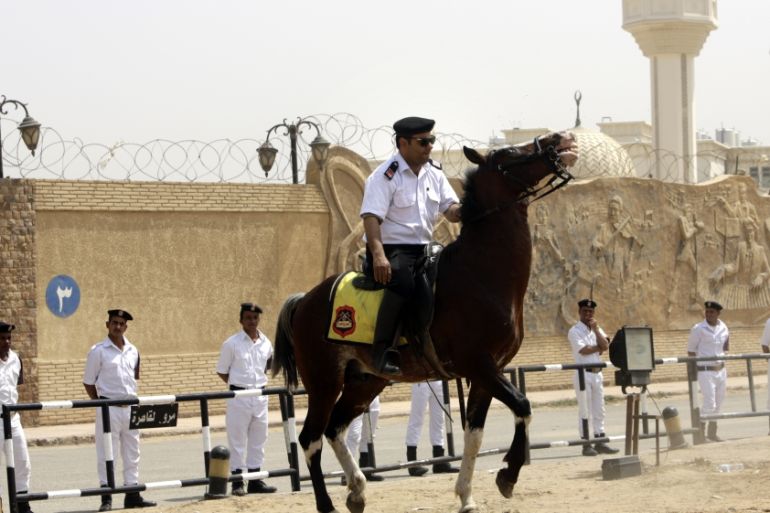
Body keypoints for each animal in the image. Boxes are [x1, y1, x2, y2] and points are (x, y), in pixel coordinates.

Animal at [272, 131, 575, 513]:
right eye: (509, 152)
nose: (558, 139)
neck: (481, 271)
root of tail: (306, 300)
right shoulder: (479, 364)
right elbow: (522, 405)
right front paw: (508, 473)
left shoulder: (488, 371)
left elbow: (475, 435)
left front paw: (467, 495)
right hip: (324, 382)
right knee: (310, 438)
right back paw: (328, 504)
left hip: (364, 382)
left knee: (334, 429)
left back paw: (357, 490)